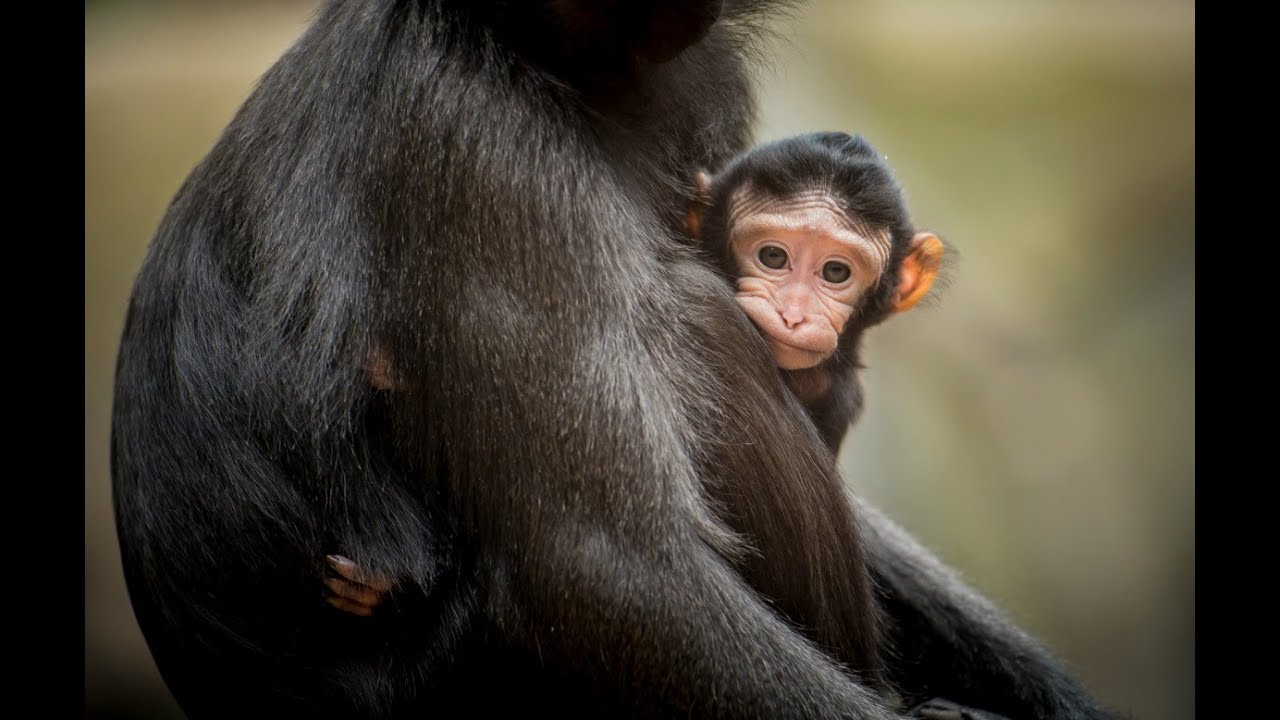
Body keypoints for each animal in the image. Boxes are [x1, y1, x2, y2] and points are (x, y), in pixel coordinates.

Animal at [111, 1, 1118, 718]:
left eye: (834, 271)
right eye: (773, 256)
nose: (793, 306)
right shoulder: (475, 136)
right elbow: (605, 568)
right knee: (692, 320)